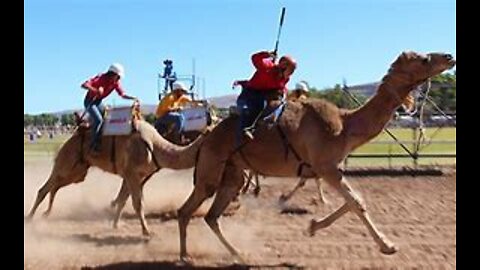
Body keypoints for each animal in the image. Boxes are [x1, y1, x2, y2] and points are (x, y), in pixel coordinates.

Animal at [26, 118, 206, 236]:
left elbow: (123, 200)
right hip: (66, 162)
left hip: (78, 172)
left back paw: (46, 214)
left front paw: (115, 224)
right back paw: (29, 217)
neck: (155, 146)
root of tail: (68, 140)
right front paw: (146, 231)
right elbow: (137, 203)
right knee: (45, 188)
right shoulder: (132, 174)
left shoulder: (133, 176)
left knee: (55, 186)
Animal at [175, 50, 454, 262]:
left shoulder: (327, 167)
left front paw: (312, 226)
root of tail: (207, 134)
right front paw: (388, 246)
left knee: (211, 216)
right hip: (211, 169)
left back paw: (238, 254)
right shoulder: (326, 165)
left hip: (233, 173)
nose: (449, 57)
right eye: (424, 59)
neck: (345, 125)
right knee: (186, 210)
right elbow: (356, 202)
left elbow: (353, 200)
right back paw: (185, 256)